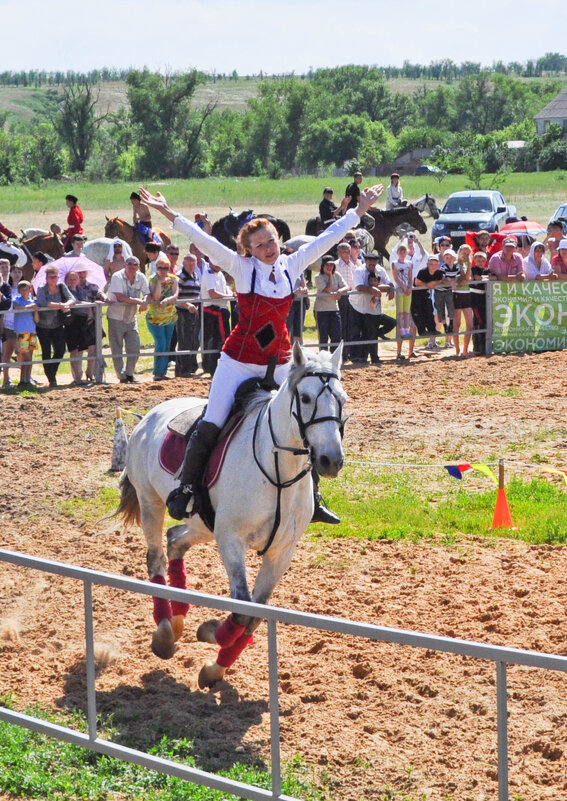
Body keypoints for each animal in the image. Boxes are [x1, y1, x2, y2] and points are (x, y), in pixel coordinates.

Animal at [115, 344, 346, 688]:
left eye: (342, 399)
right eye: (305, 398)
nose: (331, 460)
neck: (278, 472)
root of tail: (151, 415)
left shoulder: (281, 551)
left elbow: (256, 613)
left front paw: (215, 667)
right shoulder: (231, 541)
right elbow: (241, 608)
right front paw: (210, 633)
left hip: (202, 523)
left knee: (175, 541)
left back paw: (179, 617)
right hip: (150, 502)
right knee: (156, 557)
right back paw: (165, 634)